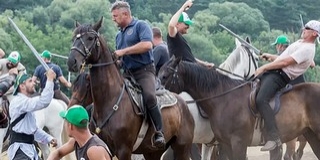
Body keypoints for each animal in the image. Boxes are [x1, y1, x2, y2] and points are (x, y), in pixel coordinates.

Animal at [66, 17, 194, 160]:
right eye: (73, 38)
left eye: (90, 38)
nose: (72, 62)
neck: (110, 99)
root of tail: (185, 105)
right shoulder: (103, 146)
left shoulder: (124, 150)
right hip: (153, 152)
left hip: (182, 148)